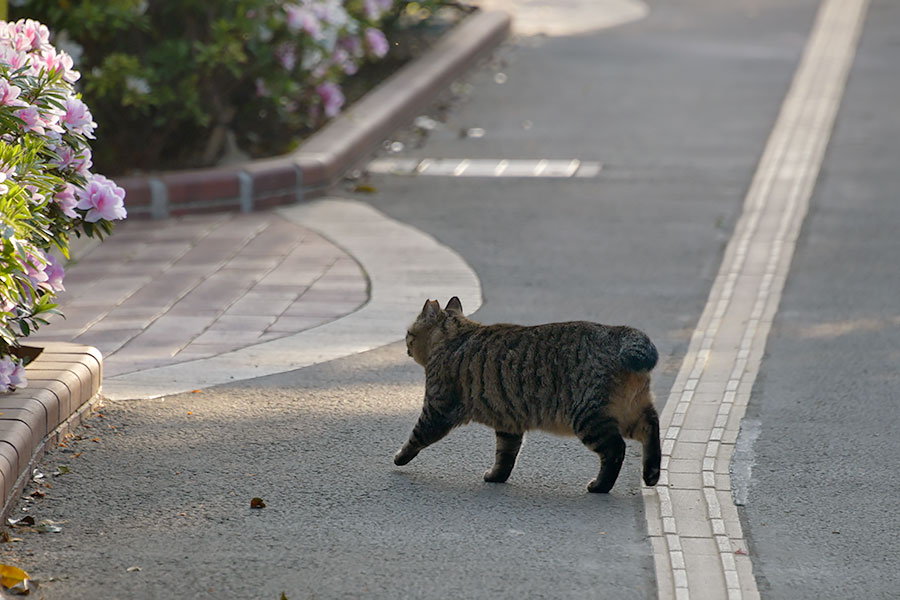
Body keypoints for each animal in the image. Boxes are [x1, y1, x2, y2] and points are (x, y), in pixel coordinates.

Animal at [394, 298, 660, 494]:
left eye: (408, 333)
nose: (405, 345)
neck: (457, 337)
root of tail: (619, 333)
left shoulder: (437, 409)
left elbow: (416, 438)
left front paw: (399, 458)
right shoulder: (507, 424)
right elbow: (505, 457)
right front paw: (496, 476)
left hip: (589, 418)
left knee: (616, 449)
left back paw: (600, 486)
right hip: (630, 411)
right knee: (651, 427)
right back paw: (651, 474)